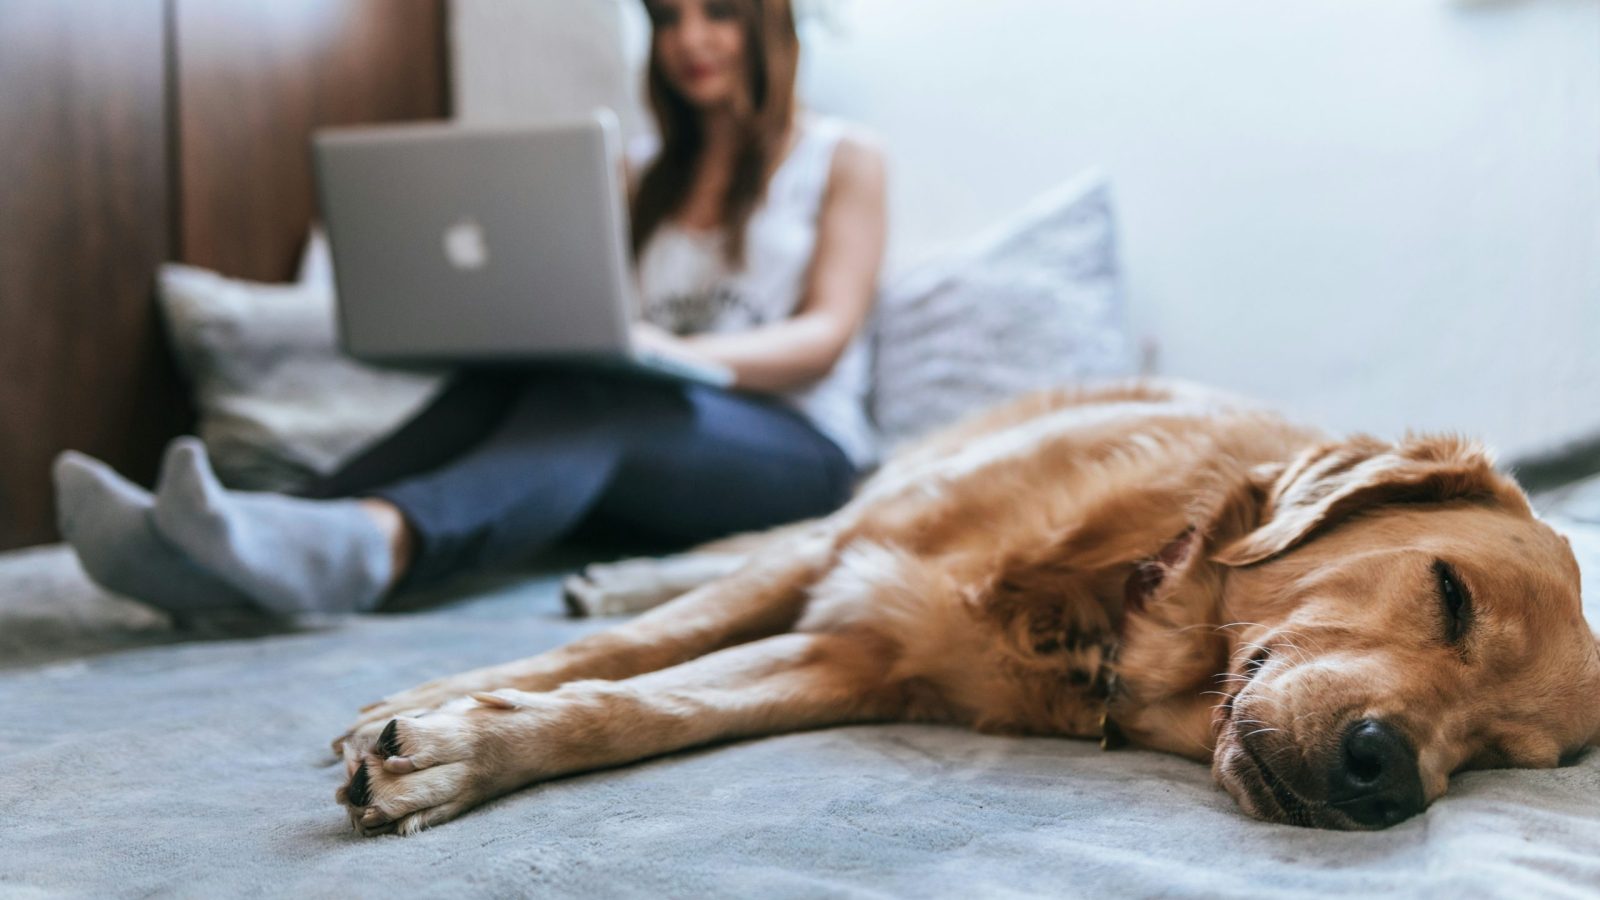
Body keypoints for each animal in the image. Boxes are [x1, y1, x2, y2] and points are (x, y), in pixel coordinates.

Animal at [331, 374, 1593, 832]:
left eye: (1506, 755)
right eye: (1448, 594)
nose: (1386, 778)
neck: (1113, 597)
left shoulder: (848, 660)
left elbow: (646, 706)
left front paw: (458, 751)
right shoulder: (850, 556)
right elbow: (650, 645)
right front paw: (440, 702)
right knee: (740, 550)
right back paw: (614, 572)